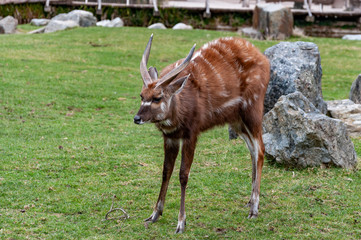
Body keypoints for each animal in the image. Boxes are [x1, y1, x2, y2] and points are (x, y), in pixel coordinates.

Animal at [134, 34, 268, 233]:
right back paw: (249, 202)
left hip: (252, 111)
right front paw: (154, 215)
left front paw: (181, 223)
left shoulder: (191, 134)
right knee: (252, 151)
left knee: (260, 150)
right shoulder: (170, 137)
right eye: (142, 96)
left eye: (157, 98)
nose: (137, 118)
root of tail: (263, 58)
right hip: (237, 122)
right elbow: (166, 171)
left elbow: (183, 175)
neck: (180, 107)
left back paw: (254, 210)